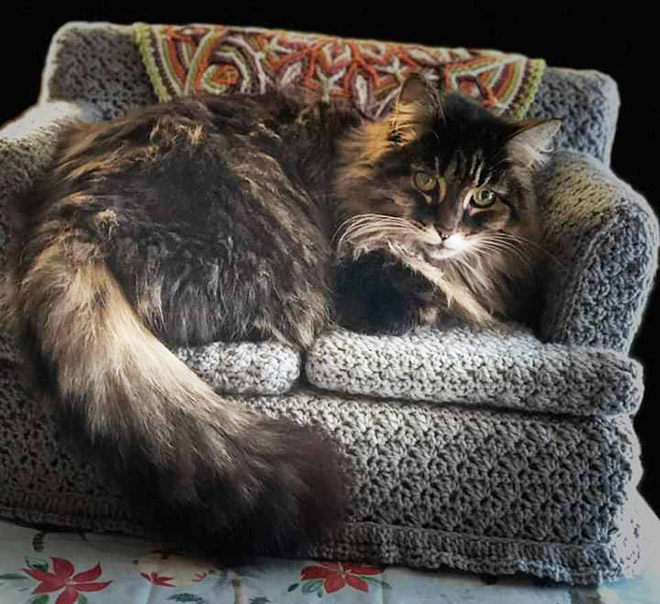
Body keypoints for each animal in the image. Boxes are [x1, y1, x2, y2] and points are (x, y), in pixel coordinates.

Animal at [5, 75, 560, 560]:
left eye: (483, 197)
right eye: (426, 180)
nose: (445, 230)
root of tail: (74, 216)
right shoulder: (361, 279)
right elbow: (418, 293)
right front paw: (427, 291)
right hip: (282, 243)